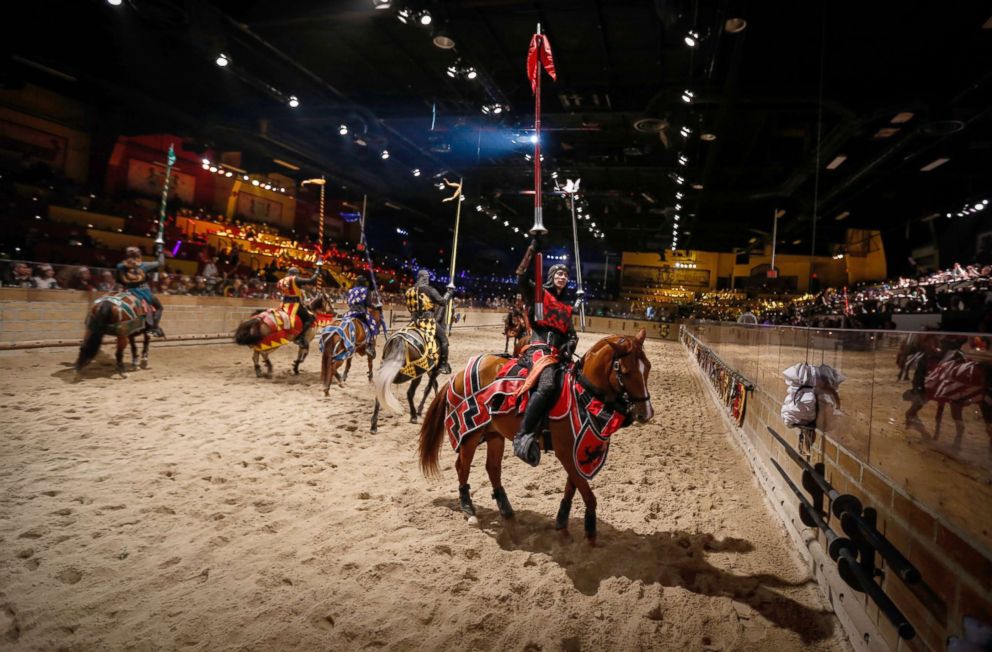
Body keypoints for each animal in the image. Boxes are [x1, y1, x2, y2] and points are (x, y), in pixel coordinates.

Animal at [416, 328, 656, 544]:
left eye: (648, 368)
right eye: (625, 371)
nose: (645, 413)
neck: (582, 394)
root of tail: (457, 374)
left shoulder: (577, 453)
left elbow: (572, 488)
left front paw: (562, 525)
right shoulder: (566, 454)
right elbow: (588, 495)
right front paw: (590, 532)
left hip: (494, 434)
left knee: (492, 468)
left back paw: (507, 511)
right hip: (470, 435)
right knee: (462, 467)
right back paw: (469, 509)